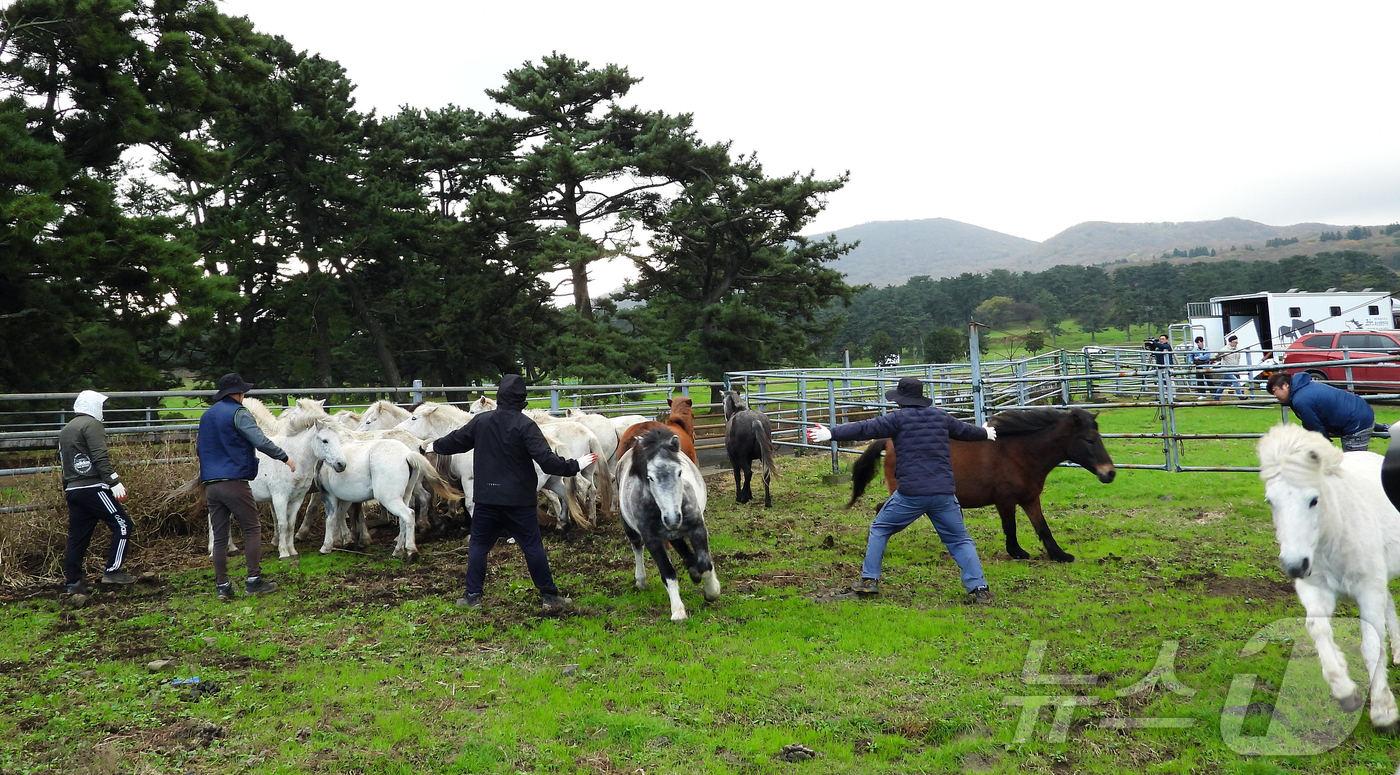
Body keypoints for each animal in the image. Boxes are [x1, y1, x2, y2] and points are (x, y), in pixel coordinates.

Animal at [313, 419, 462, 556]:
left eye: (325, 440)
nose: (340, 464)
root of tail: (410, 452)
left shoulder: (329, 494)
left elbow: (332, 517)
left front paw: (328, 545)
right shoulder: (346, 496)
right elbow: (342, 514)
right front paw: (348, 539)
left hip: (392, 498)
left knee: (411, 511)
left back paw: (411, 548)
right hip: (407, 493)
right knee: (411, 512)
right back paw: (401, 548)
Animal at [618, 425, 716, 618]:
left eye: (679, 472)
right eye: (650, 477)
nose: (672, 518)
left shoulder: (697, 528)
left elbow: (705, 564)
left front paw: (712, 592)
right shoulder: (653, 540)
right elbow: (667, 572)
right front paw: (678, 611)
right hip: (631, 528)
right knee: (637, 547)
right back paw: (641, 580)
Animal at [845, 402, 1120, 562]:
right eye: (1088, 440)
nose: (1110, 473)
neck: (1018, 453)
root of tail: (889, 442)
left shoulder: (1030, 499)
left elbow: (1043, 528)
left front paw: (1060, 555)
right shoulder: (1005, 500)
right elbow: (1010, 527)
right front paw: (1017, 552)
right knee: (881, 512)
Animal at [1260, 422, 1400, 727]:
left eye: (1314, 499)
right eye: (1270, 501)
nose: (1294, 566)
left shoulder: (1368, 589)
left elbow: (1371, 645)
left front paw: (1384, 712)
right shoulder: (1316, 589)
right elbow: (1318, 629)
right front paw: (1345, 691)